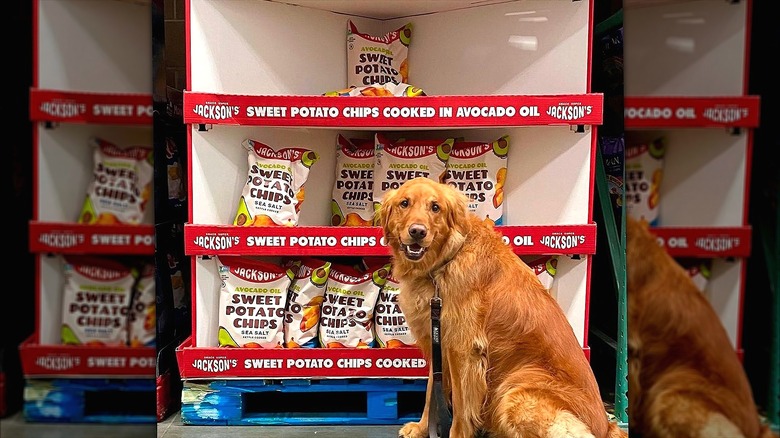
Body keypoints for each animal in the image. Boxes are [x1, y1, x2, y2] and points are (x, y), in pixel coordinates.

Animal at [380, 177, 628, 438]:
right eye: (404, 203)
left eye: (435, 207)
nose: (417, 232)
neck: (445, 261)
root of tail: (608, 426)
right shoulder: (439, 343)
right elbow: (430, 392)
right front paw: (421, 428)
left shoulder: (463, 350)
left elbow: (460, 408)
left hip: (516, 389)